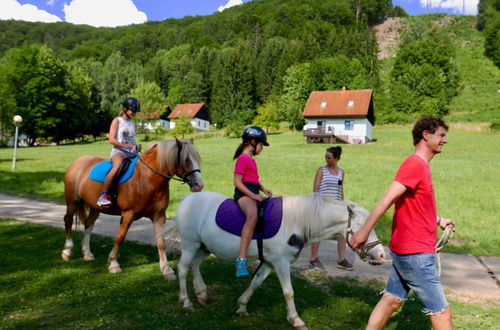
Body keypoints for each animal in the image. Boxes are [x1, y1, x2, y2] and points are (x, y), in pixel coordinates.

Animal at [61, 138, 203, 280]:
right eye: (186, 159)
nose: (199, 185)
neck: (147, 178)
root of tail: (78, 162)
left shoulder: (159, 216)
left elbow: (161, 242)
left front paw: (167, 270)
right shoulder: (128, 215)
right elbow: (120, 237)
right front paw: (114, 264)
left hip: (95, 208)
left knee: (88, 225)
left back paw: (87, 253)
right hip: (73, 202)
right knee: (68, 221)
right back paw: (67, 251)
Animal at [165, 191, 386, 330]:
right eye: (364, 225)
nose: (382, 255)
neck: (296, 222)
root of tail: (187, 199)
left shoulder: (270, 262)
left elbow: (256, 283)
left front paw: (242, 306)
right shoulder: (281, 263)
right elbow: (288, 292)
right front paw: (296, 320)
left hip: (203, 246)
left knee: (194, 265)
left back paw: (201, 294)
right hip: (190, 243)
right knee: (183, 268)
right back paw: (186, 302)